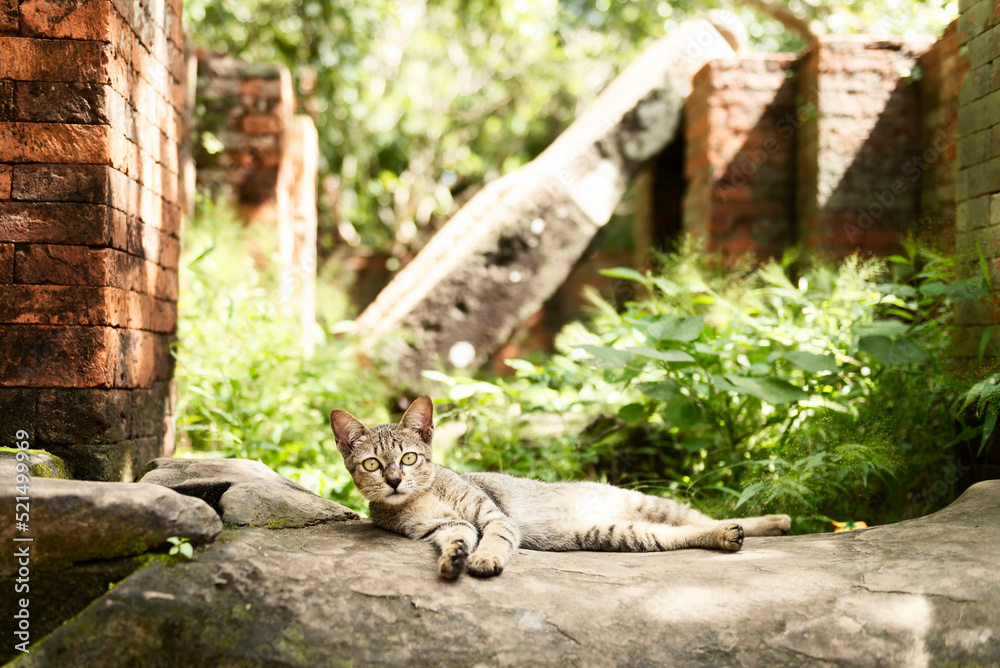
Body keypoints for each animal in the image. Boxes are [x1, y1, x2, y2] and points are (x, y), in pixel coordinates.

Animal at [332, 396, 792, 580]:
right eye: (372, 464)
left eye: (409, 458)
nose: (394, 480)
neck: (424, 497)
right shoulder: (445, 528)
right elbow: (457, 541)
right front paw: (454, 560)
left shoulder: (492, 516)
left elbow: (493, 539)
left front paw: (485, 559)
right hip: (618, 533)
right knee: (682, 534)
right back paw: (730, 535)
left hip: (652, 502)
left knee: (705, 515)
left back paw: (771, 521)